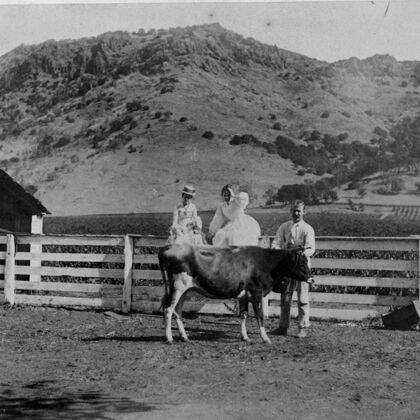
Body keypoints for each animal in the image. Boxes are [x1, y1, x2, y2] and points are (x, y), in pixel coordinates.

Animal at [159, 243, 310, 344]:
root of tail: (169, 247)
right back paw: (169, 338)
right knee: (168, 309)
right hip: (177, 287)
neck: (266, 263)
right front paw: (265, 338)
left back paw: (185, 337)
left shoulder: (244, 295)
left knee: (178, 311)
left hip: (184, 290)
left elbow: (244, 315)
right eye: (302, 263)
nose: (311, 278)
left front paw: (245, 337)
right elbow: (260, 315)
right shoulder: (257, 292)